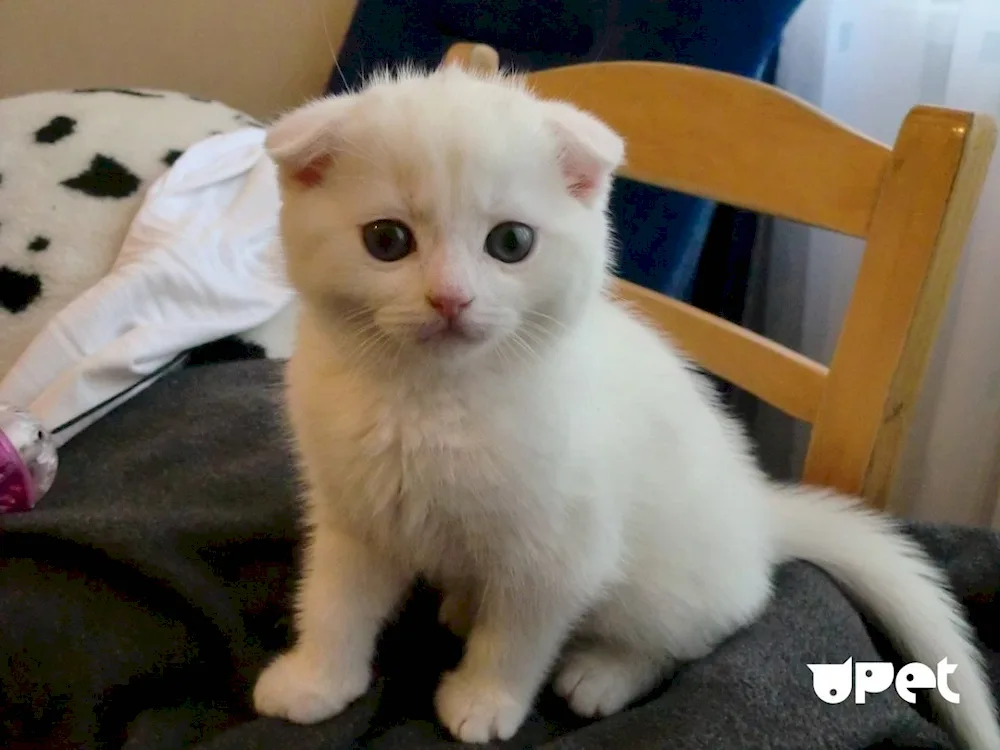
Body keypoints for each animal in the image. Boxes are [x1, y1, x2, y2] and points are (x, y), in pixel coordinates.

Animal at [252, 66, 1000, 750]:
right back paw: (464, 603)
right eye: (386, 240)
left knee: (699, 632)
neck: (430, 400)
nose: (450, 299)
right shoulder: (354, 511)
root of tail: (761, 518)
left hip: (664, 585)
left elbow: (518, 635)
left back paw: (604, 674)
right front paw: (316, 679)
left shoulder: (562, 547)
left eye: (511, 243)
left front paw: (485, 700)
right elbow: (335, 599)